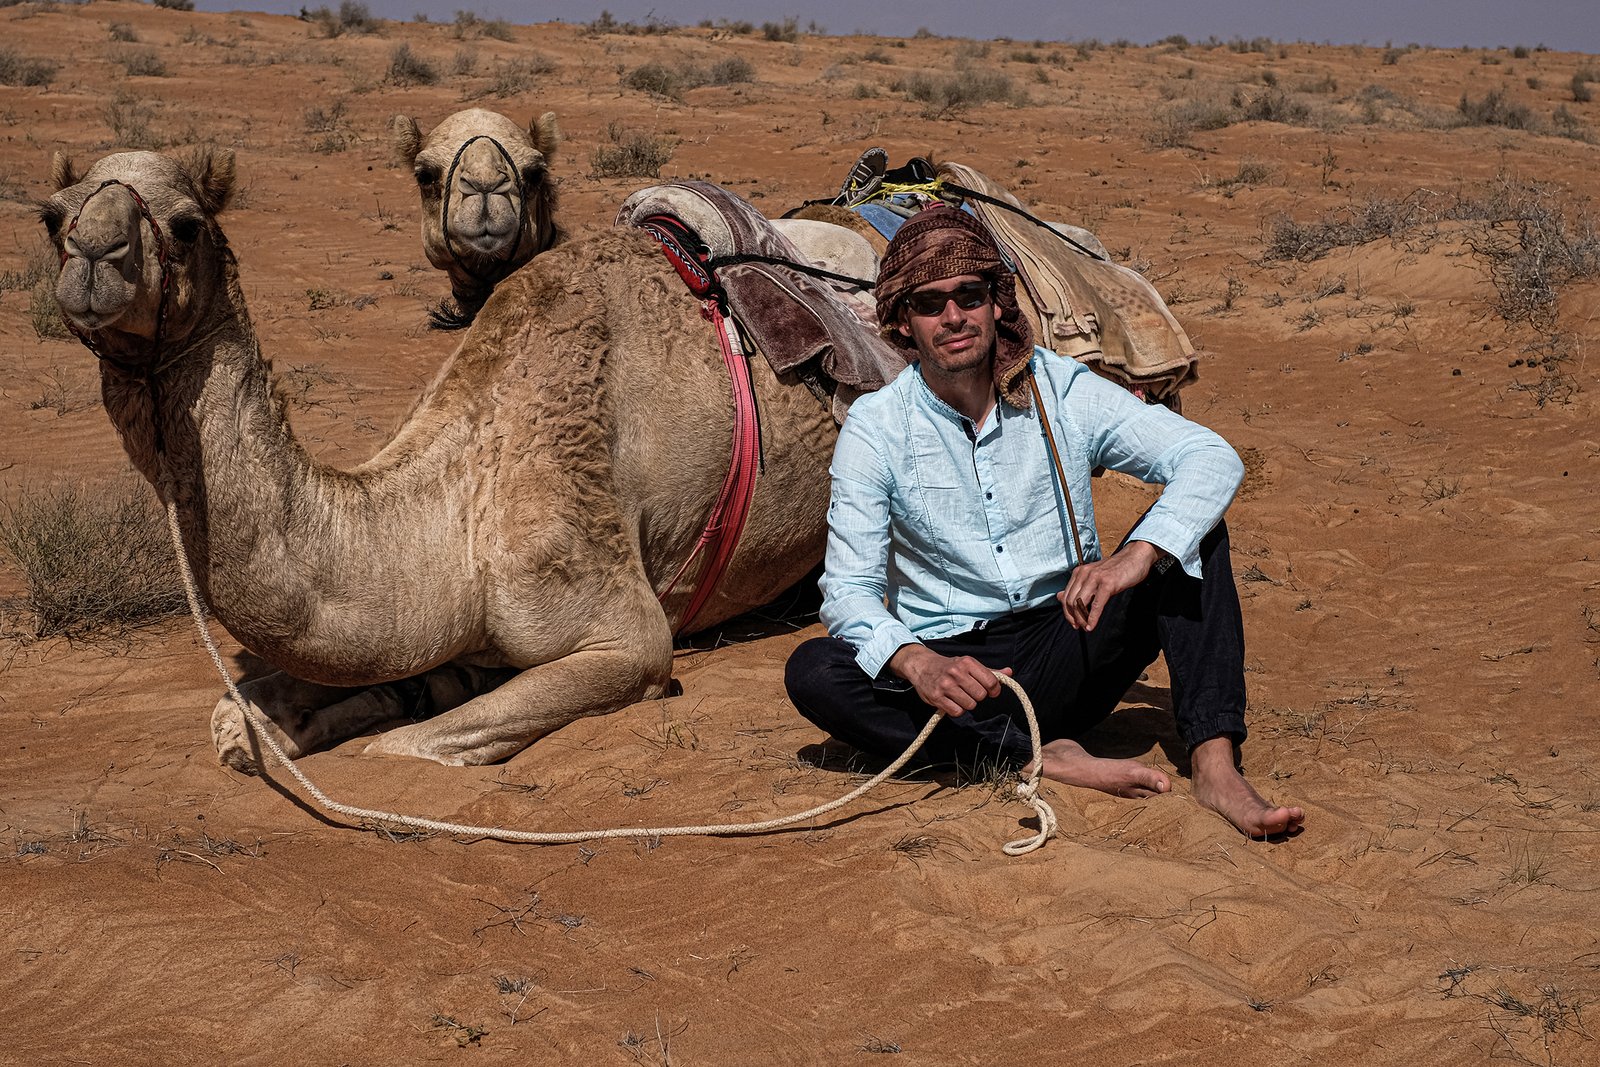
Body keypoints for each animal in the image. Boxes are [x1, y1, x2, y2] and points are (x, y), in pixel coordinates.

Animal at [44, 148, 837, 770]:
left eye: (185, 223)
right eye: (52, 217)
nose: (93, 257)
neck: (452, 512)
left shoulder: (624, 633)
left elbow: (405, 747)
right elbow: (236, 713)